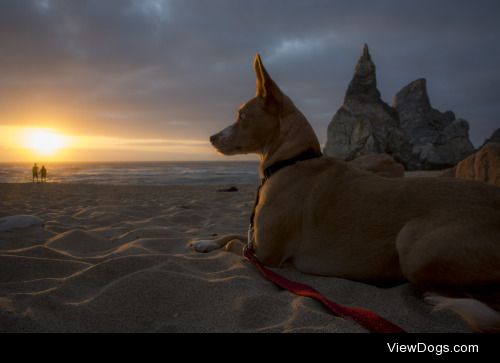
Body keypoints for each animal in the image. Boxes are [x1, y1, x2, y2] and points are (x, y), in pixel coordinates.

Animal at [190, 54, 500, 332]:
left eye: (242, 116)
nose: (211, 138)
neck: (292, 160)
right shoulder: (258, 242)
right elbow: (231, 233)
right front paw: (205, 241)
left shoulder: (266, 254)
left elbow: (234, 244)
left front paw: (212, 243)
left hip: (414, 246)